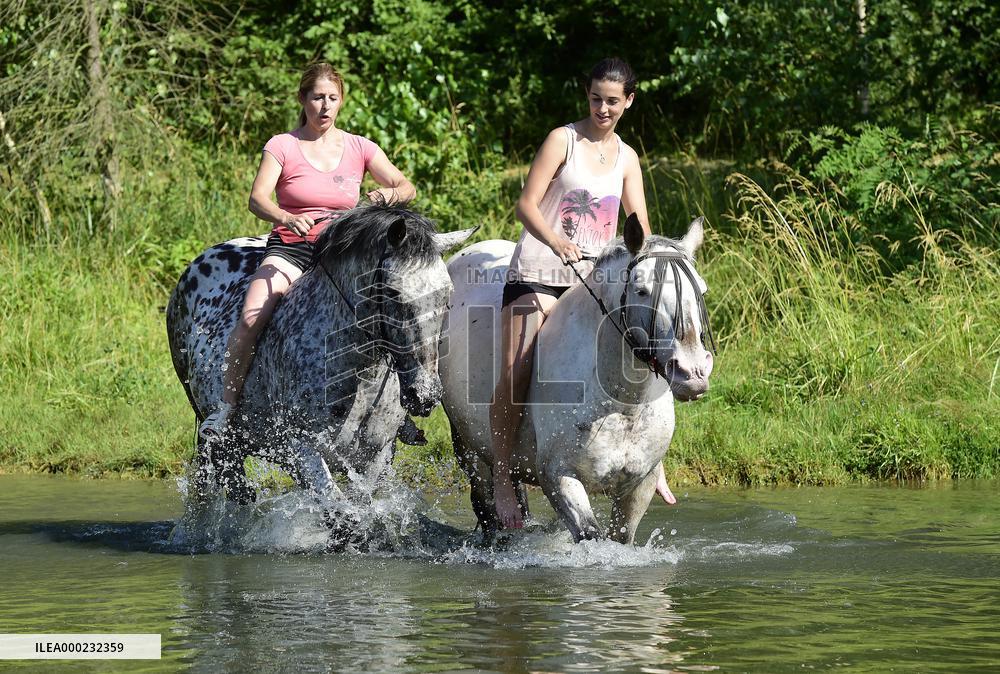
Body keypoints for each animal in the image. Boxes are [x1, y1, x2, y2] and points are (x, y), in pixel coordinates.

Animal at [166, 204, 475, 506]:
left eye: (447, 294)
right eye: (392, 292)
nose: (424, 395)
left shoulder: (376, 458)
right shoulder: (303, 451)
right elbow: (341, 514)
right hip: (222, 443)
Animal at [438, 214, 714, 544]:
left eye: (702, 290)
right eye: (642, 290)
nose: (692, 373)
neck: (622, 404)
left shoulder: (640, 484)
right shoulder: (560, 477)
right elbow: (591, 536)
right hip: (469, 447)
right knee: (488, 508)